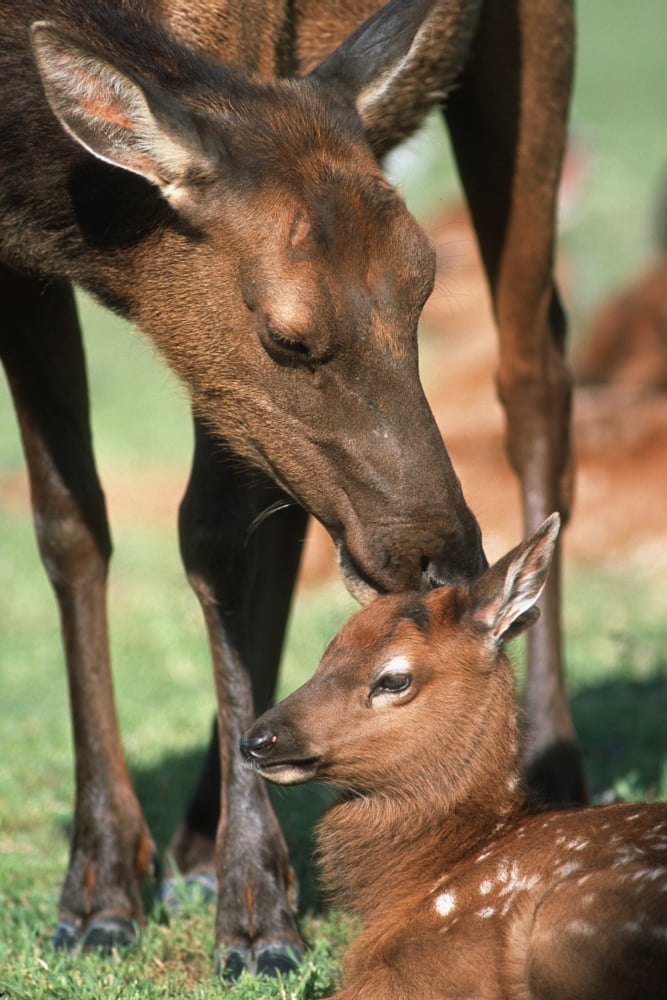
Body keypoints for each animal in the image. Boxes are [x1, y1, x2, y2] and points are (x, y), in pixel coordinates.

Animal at [0, 0, 577, 979]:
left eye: (424, 290)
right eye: (286, 336)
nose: (446, 556)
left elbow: (209, 539)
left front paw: (256, 912)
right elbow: (70, 528)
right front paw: (99, 891)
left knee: (535, 376)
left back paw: (547, 761)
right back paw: (197, 838)